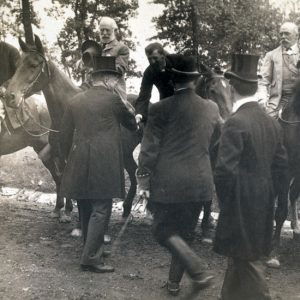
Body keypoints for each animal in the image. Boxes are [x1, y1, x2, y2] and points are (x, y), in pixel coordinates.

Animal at [5, 35, 140, 220]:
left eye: (33, 65)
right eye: (17, 65)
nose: (9, 97)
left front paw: (70, 213)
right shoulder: (61, 154)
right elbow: (62, 179)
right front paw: (64, 211)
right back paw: (126, 209)